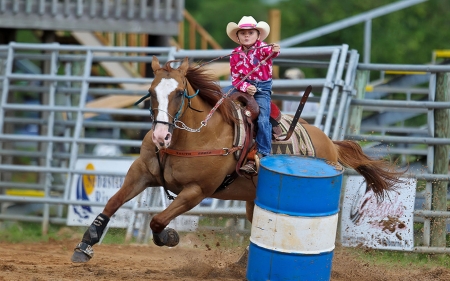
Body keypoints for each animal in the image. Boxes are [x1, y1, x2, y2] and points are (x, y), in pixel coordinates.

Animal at [71, 55, 404, 262]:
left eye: (178, 93)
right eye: (152, 92)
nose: (160, 137)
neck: (192, 136)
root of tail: (329, 143)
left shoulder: (197, 191)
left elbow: (157, 220)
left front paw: (171, 237)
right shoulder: (140, 172)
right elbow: (112, 203)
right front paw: (85, 245)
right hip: (252, 201)